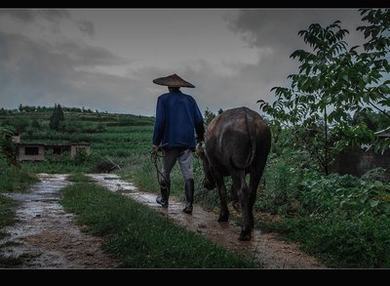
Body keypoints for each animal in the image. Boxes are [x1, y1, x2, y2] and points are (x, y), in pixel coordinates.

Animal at [198, 107, 272, 241]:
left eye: (204, 162)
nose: (206, 183)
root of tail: (249, 119)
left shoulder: (216, 170)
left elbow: (222, 191)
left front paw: (223, 216)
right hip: (260, 164)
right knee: (252, 192)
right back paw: (250, 224)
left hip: (235, 168)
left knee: (242, 191)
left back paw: (245, 231)